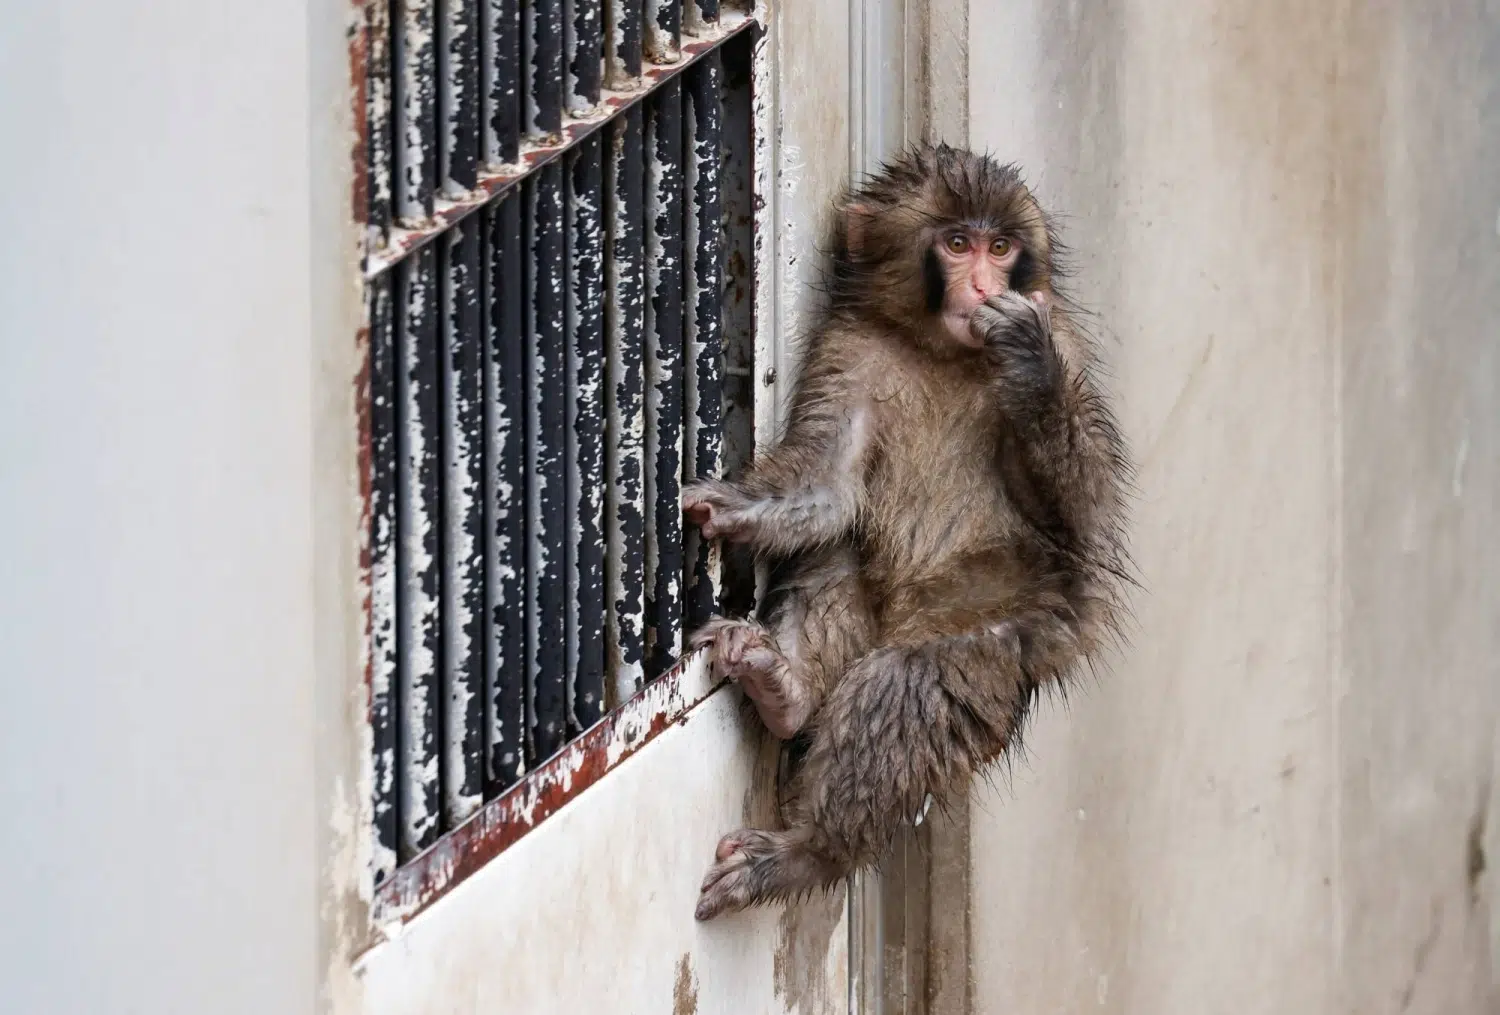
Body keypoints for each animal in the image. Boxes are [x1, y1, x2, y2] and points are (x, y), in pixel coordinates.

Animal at [680, 143, 1134, 922]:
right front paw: (732, 509)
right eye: (956, 243)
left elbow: (1087, 523)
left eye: (1000, 247)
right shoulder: (848, 348)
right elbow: (828, 487)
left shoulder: (1068, 345)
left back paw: (809, 853)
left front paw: (1029, 364)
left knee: (908, 681)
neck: (941, 353)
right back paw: (786, 690)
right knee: (833, 551)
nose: (982, 283)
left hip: (1005, 634)